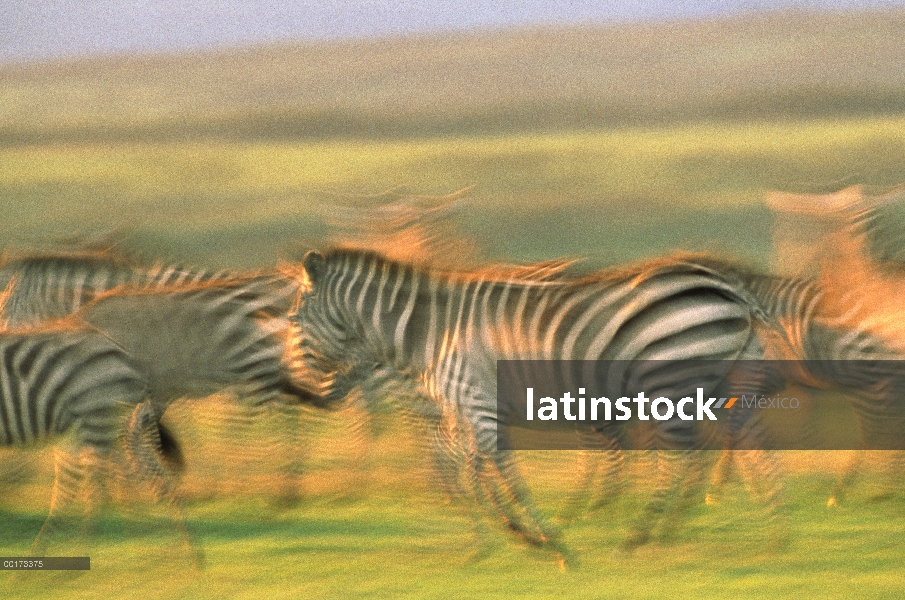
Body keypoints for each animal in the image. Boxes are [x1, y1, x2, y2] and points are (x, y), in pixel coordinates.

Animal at [294, 246, 788, 556]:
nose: (312, 394)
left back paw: (640, 535)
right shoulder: (467, 410)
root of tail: (732, 288)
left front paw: (546, 540)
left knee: (684, 456)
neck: (431, 333)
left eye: (295, 318)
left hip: (670, 377)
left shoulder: (477, 403)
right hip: (722, 380)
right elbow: (473, 473)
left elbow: (497, 474)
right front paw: (507, 536)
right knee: (742, 441)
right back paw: (769, 529)